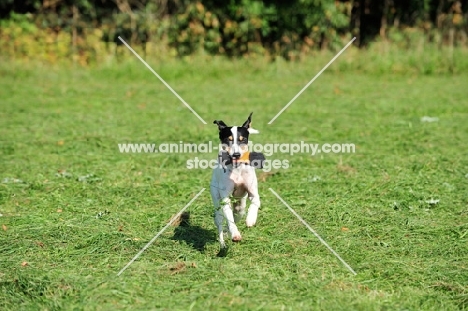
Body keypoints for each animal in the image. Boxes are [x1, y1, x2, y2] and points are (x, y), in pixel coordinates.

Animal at [211, 112, 266, 249]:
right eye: (228, 140)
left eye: (243, 140)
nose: (236, 155)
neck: (237, 169)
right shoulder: (225, 198)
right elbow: (229, 219)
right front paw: (235, 234)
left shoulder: (253, 192)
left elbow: (255, 202)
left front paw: (251, 219)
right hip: (216, 199)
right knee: (220, 220)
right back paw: (223, 242)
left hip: (240, 205)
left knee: (237, 214)